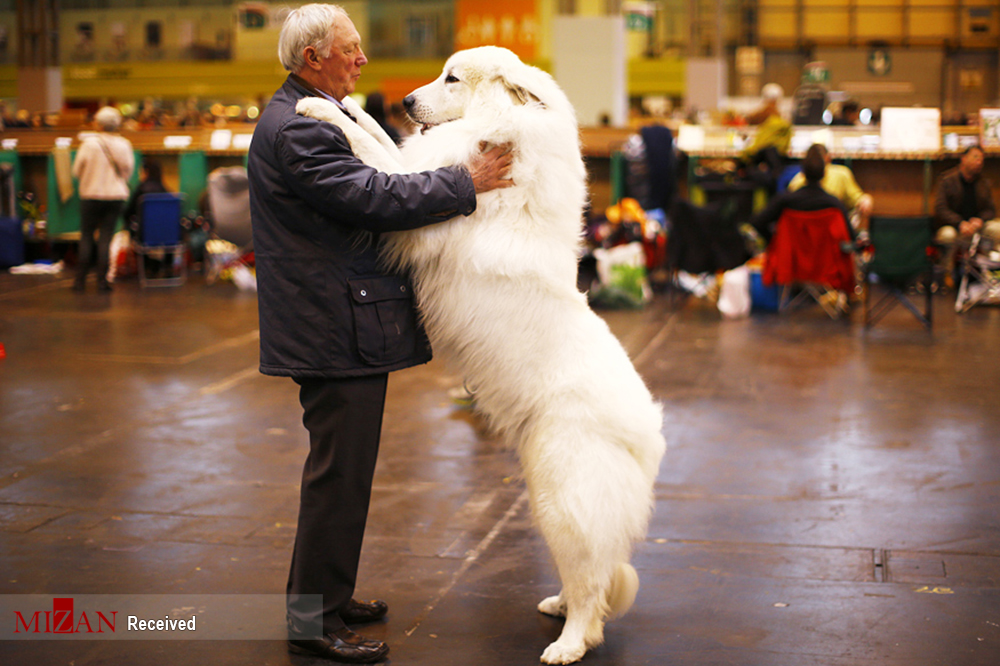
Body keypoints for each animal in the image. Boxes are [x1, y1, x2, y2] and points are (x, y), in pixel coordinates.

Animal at [300, 48, 668, 664]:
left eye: (452, 78)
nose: (405, 101)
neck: (509, 136)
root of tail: (648, 439)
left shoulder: (416, 198)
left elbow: (374, 154)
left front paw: (317, 108)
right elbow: (379, 137)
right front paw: (349, 104)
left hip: (560, 503)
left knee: (592, 585)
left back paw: (568, 643)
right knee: (587, 577)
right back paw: (559, 608)